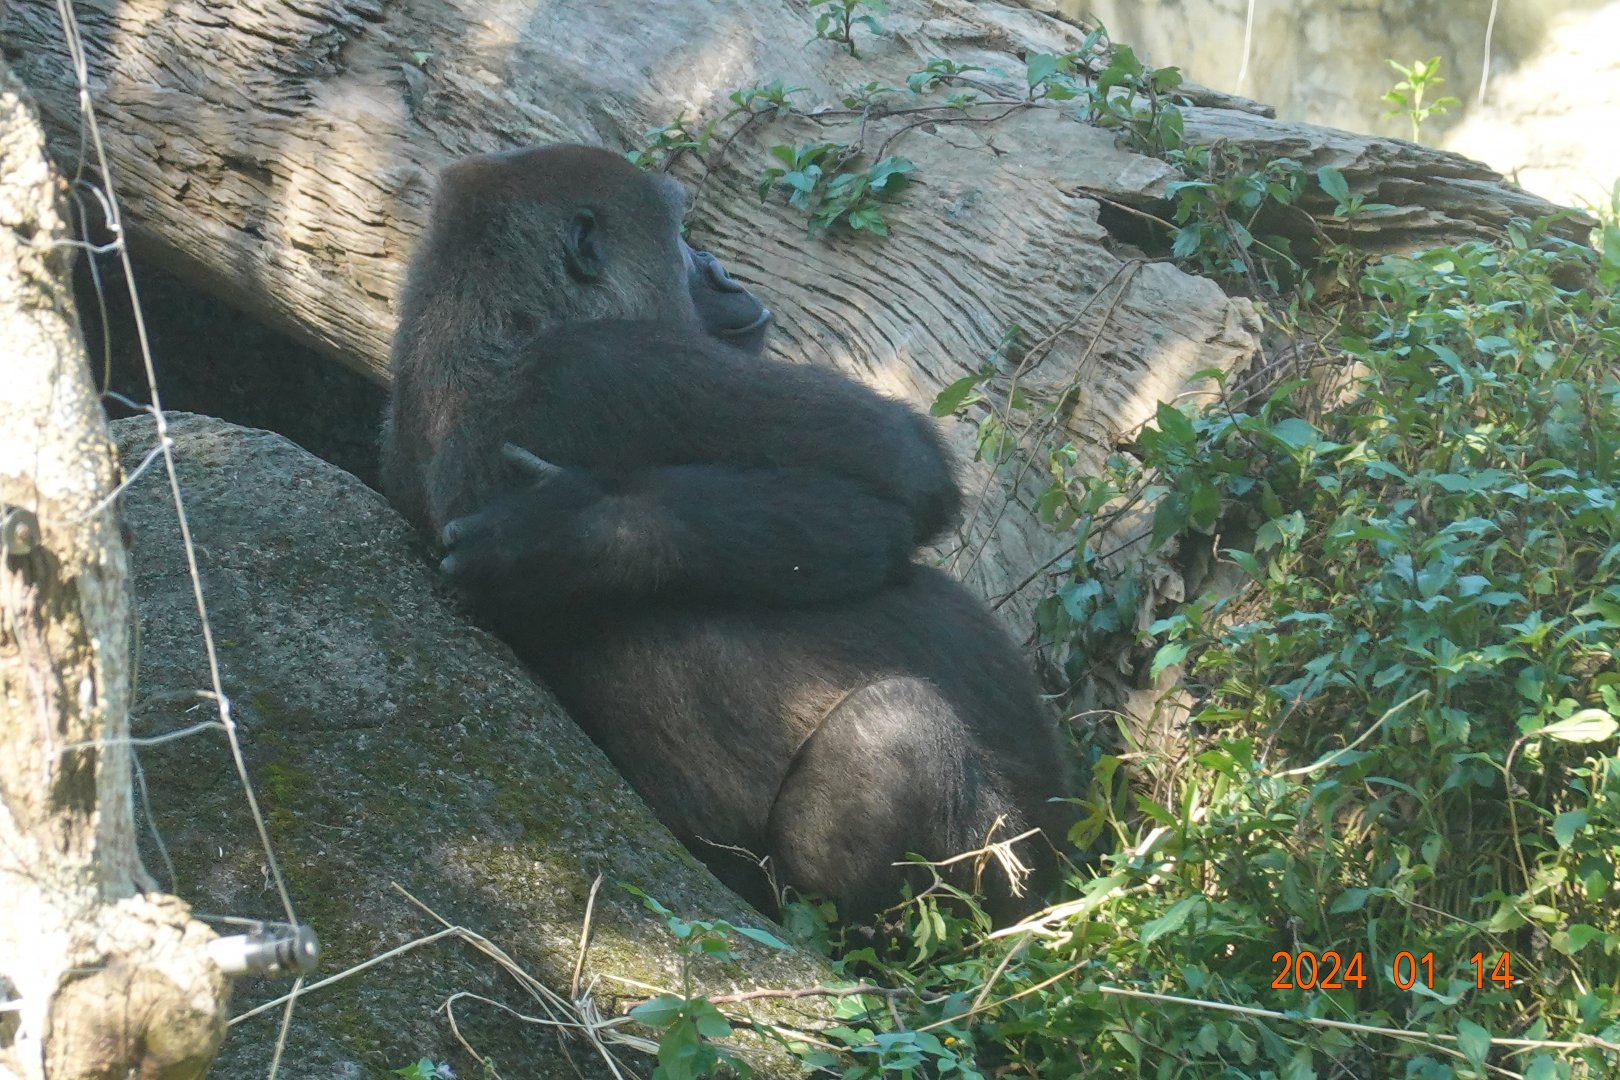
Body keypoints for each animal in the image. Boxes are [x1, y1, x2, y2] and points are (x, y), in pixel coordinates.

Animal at [380, 144, 1073, 922]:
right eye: (681, 237)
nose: (721, 270)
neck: (486, 316)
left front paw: (559, 530)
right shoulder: (622, 363)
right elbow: (903, 476)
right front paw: (579, 527)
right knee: (894, 729)